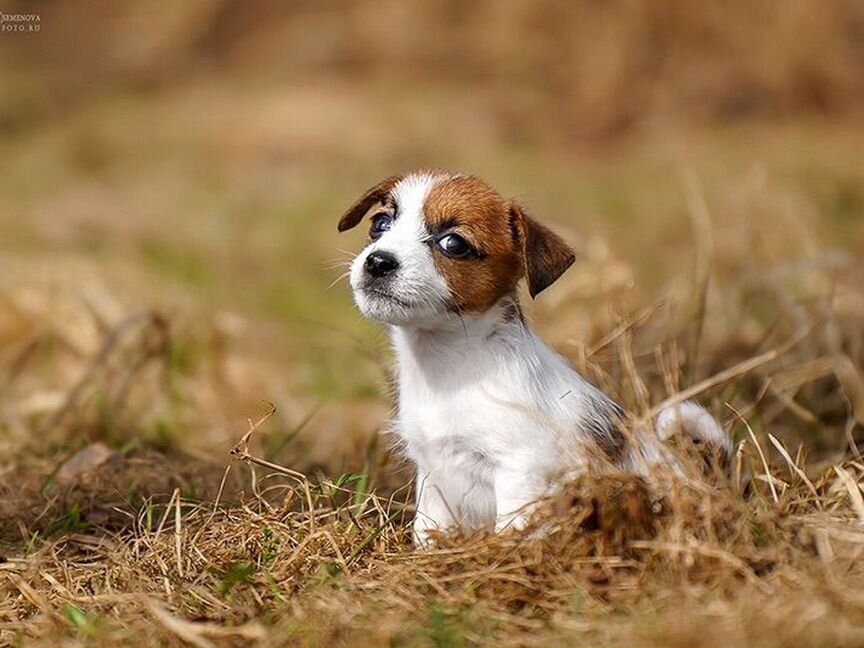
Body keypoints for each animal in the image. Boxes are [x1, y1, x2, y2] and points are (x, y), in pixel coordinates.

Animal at [338, 170, 728, 544]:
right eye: (380, 224)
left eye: (453, 243)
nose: (378, 262)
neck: (452, 366)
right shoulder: (433, 474)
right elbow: (427, 530)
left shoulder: (519, 471)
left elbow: (512, 531)